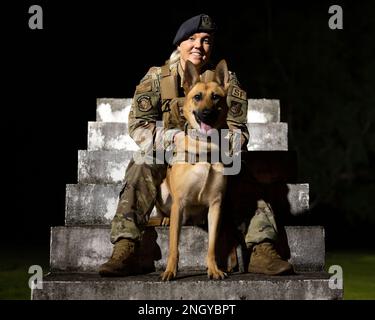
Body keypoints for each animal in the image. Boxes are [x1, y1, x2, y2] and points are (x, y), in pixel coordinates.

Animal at [161, 59, 231, 280]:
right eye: (197, 97)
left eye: (216, 97)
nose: (207, 113)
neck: (205, 147)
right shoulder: (179, 203)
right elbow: (173, 246)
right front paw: (170, 271)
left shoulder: (216, 205)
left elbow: (212, 245)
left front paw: (213, 269)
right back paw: (164, 218)